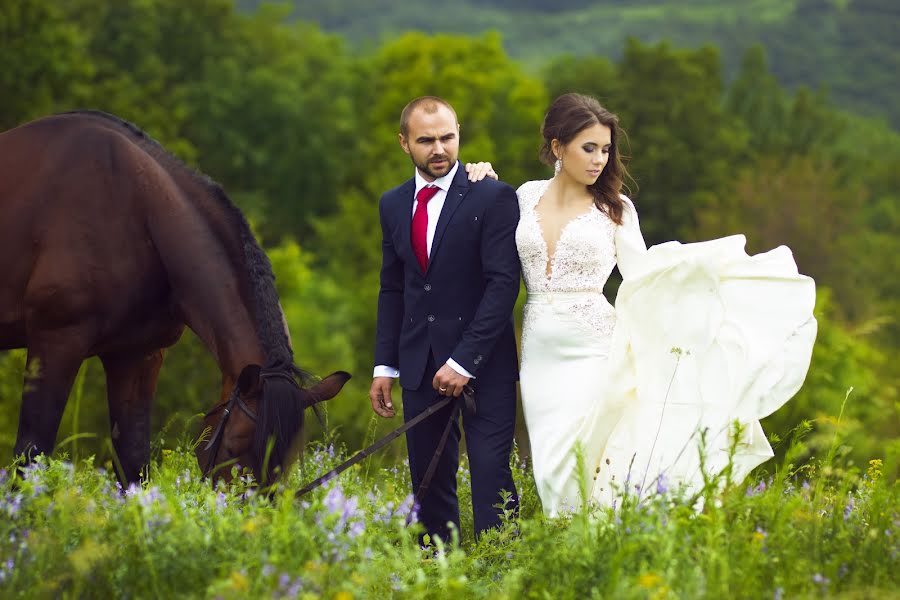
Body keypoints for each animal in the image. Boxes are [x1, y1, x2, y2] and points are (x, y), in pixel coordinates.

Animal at [0, 110, 350, 486]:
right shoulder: (55, 342)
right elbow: (31, 452)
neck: (133, 209)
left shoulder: (136, 356)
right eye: (232, 447)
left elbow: (133, 463)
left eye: (287, 460)